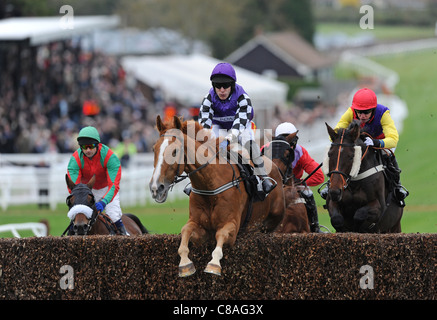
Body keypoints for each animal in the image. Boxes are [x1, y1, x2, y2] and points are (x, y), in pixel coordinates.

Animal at [150, 116, 284, 276]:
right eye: (154, 149)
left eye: (175, 151)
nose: (156, 188)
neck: (210, 184)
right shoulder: (199, 226)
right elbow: (185, 231)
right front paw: (185, 264)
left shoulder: (231, 224)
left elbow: (222, 235)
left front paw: (213, 264)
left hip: (273, 220)